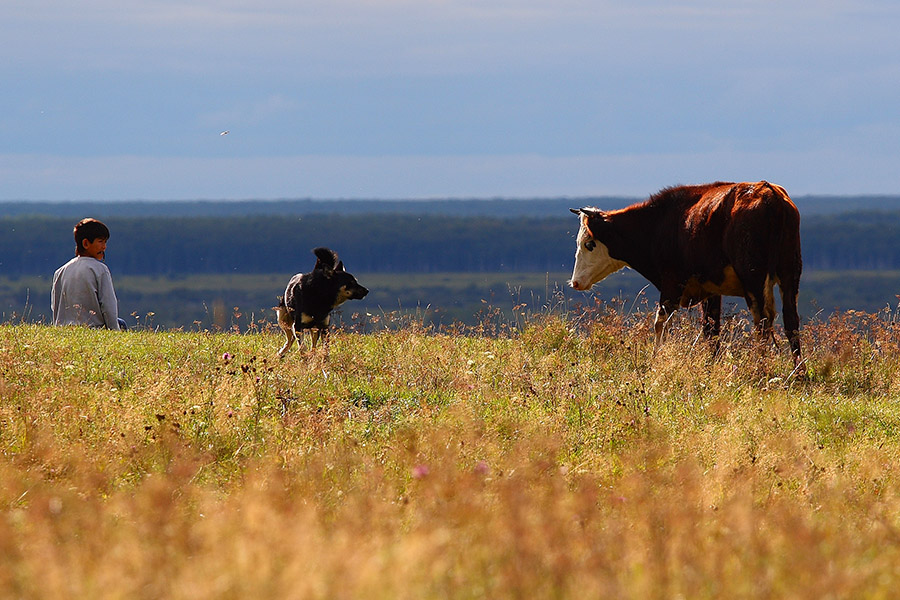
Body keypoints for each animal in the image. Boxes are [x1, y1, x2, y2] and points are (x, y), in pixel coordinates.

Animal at [568, 180, 800, 364]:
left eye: (589, 244)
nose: (575, 282)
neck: (658, 224)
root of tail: (769, 192)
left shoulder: (672, 283)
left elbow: (661, 323)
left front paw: (656, 360)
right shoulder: (711, 289)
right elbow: (711, 329)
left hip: (753, 278)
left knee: (763, 322)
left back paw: (760, 368)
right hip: (790, 273)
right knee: (791, 321)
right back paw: (799, 374)